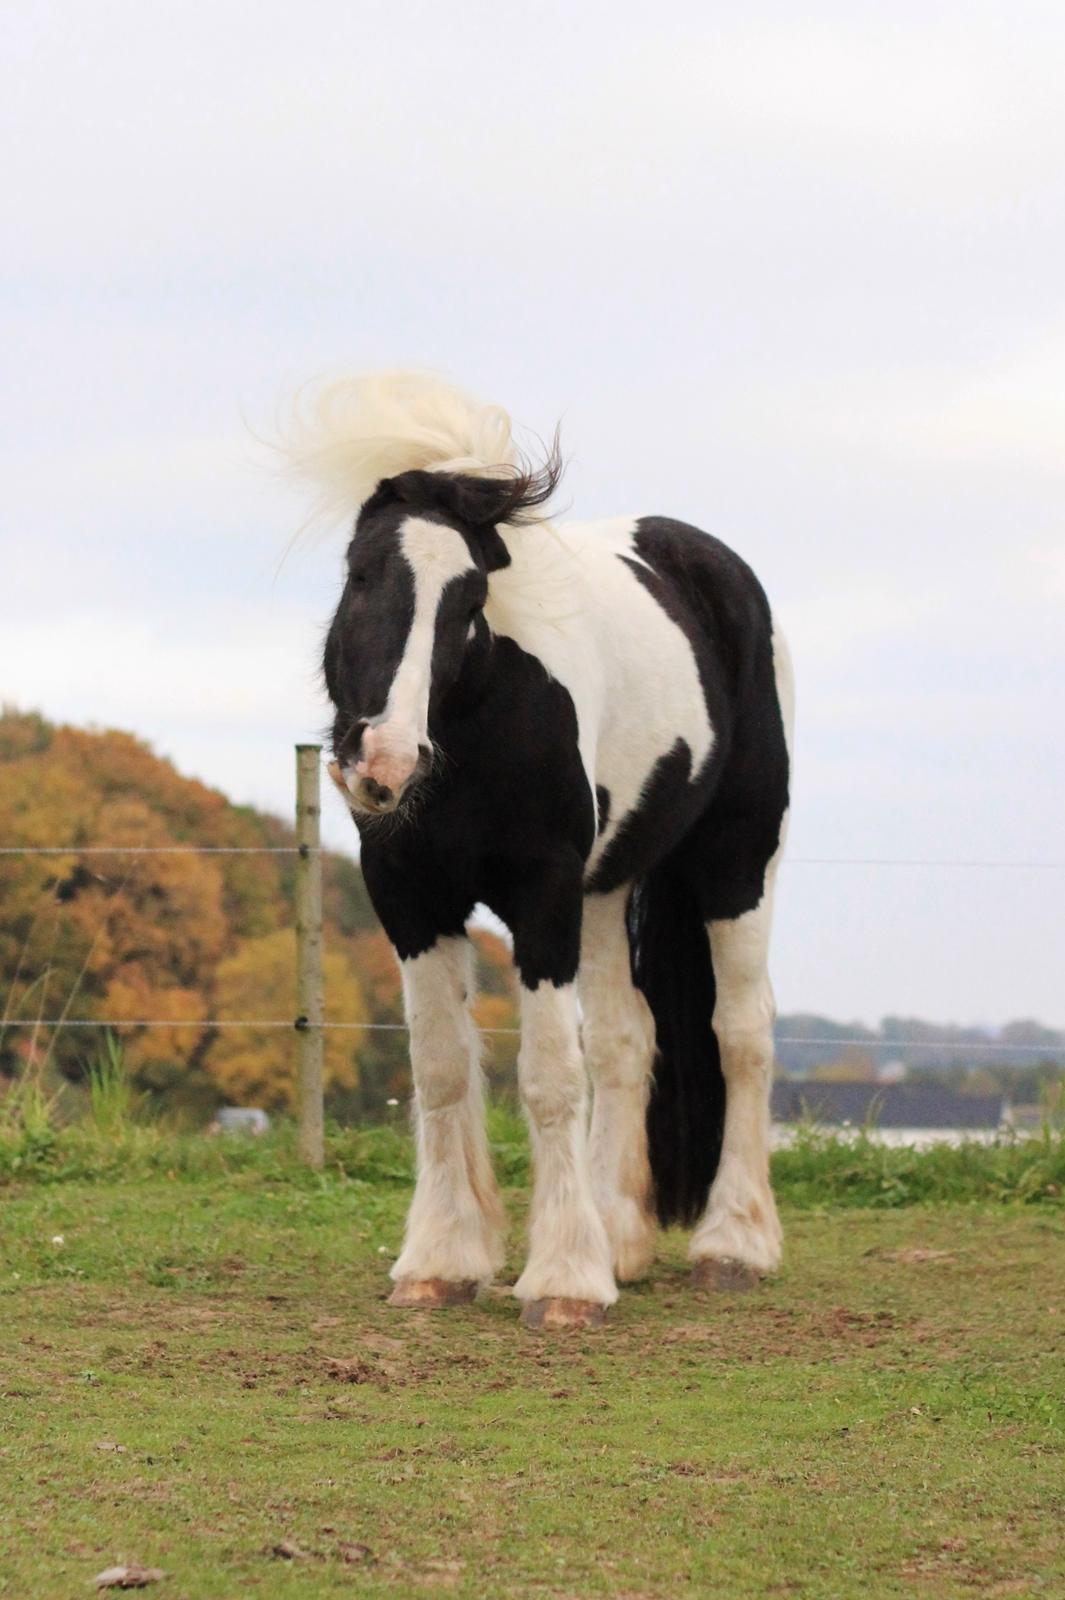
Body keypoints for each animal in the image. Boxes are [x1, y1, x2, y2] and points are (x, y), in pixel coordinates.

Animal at [286, 371, 793, 1324]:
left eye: (469, 601)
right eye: (360, 574)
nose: (385, 761)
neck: (483, 720)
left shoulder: (541, 893)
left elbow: (551, 1075)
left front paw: (563, 1282)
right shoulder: (410, 895)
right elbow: (444, 1069)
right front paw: (441, 1261)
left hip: (735, 865)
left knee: (740, 1032)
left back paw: (733, 1246)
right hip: (606, 892)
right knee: (628, 1037)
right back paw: (620, 1238)